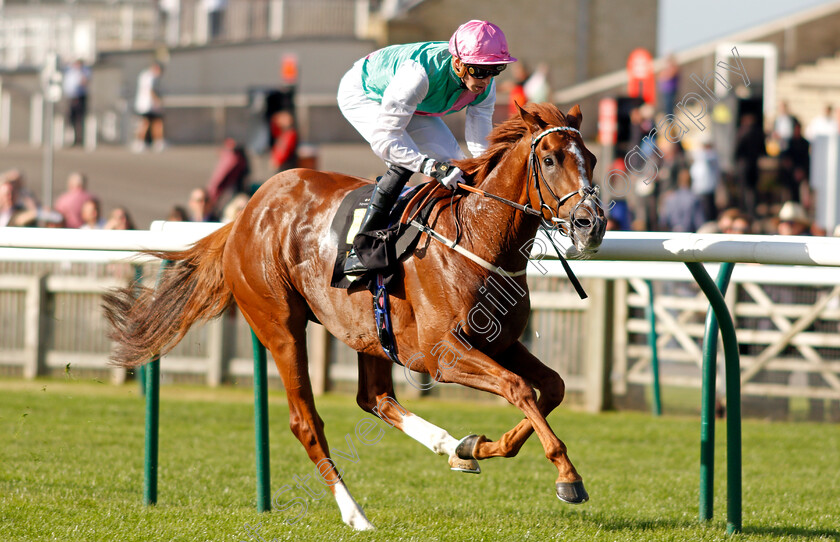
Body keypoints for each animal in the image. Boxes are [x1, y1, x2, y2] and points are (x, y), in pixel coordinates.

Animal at [103, 102, 604, 532]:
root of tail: (245, 214)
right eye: (551, 159)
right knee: (306, 421)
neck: (479, 239)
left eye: (593, 158)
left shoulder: (499, 342)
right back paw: (355, 514)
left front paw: (481, 445)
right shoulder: (444, 354)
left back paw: (450, 445)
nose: (592, 224)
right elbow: (519, 388)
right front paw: (568, 476)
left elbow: (551, 387)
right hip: (279, 325)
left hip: (371, 333)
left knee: (375, 398)